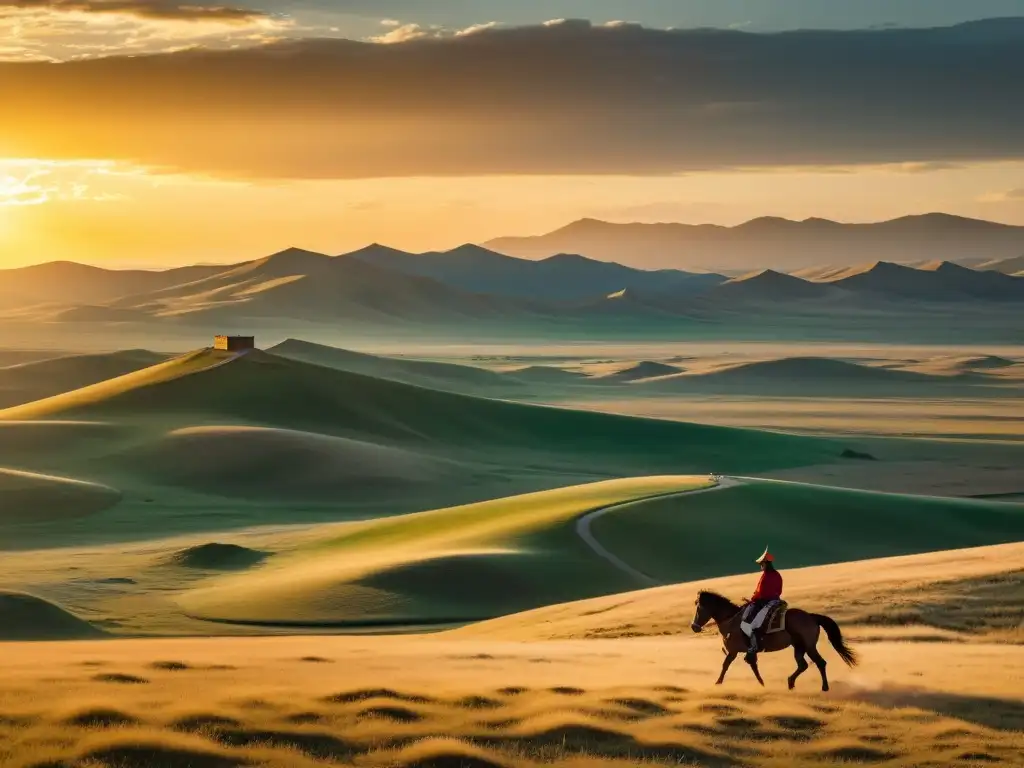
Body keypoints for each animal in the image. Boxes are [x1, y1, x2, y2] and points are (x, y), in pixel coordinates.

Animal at [696, 593, 856, 696]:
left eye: (699, 608)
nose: (694, 627)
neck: (731, 621)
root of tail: (811, 617)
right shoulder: (746, 652)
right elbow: (753, 666)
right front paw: (762, 684)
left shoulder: (733, 651)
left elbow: (726, 665)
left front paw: (718, 683)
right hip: (798, 647)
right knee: (803, 665)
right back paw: (790, 683)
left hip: (809, 647)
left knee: (820, 663)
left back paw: (824, 687)